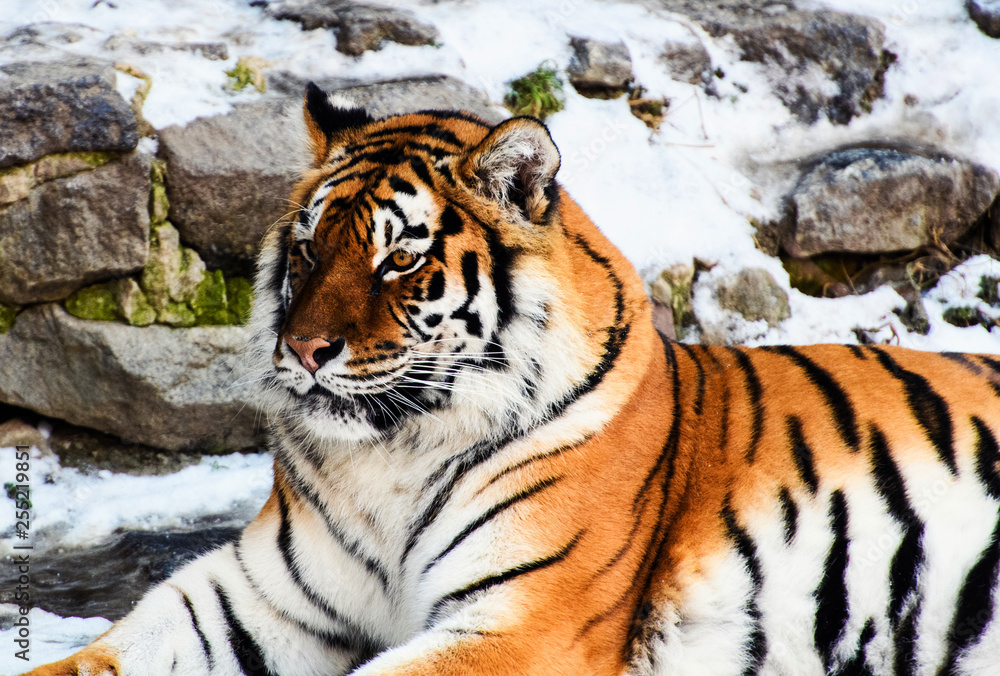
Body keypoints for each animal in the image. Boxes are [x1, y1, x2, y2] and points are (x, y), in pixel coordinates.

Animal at [20, 81, 1000, 676]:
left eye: (398, 260)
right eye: (307, 249)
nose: (302, 350)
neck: (387, 457)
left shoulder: (520, 625)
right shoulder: (254, 601)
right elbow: (99, 654)